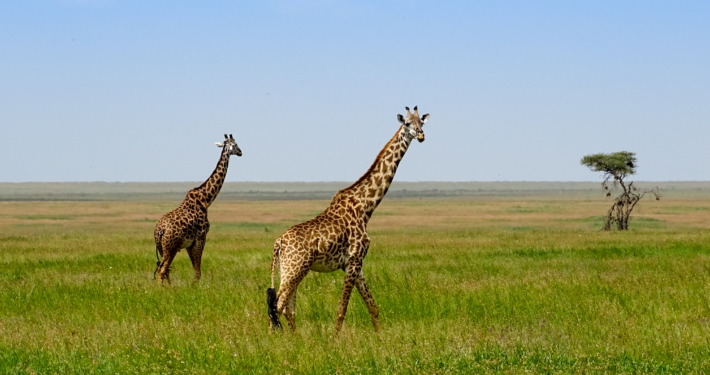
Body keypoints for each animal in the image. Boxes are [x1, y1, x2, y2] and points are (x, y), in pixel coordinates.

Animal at [154, 134, 243, 284]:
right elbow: (197, 271)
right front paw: (194, 287)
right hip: (170, 248)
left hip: (164, 248)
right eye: (235, 144)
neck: (206, 199)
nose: (241, 152)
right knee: (162, 269)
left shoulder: (190, 244)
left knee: (165, 269)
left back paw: (170, 287)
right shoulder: (201, 237)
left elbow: (196, 269)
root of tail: (159, 231)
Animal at [268, 107, 432, 334]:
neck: (365, 207)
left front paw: (380, 337)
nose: (421, 135)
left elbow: (373, 307)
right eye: (407, 123)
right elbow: (341, 310)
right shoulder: (353, 260)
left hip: (289, 269)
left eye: (422, 123)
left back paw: (295, 337)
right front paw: (335, 339)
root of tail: (279, 243)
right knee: (278, 305)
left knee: (287, 307)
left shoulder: (355, 264)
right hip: (295, 268)